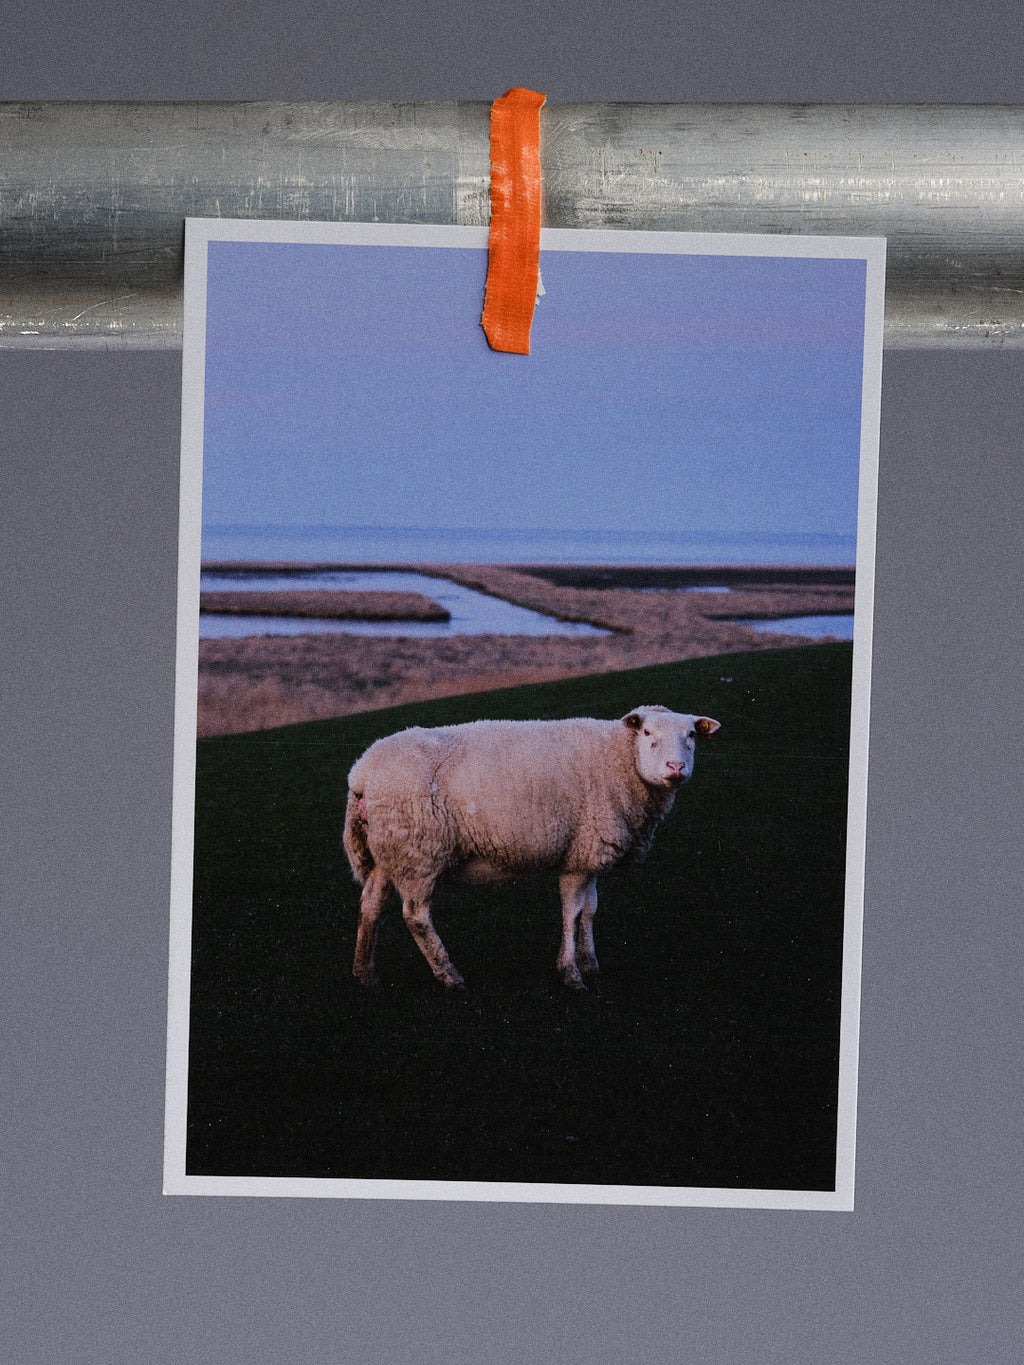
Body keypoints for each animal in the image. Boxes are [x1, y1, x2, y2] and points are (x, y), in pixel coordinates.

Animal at [343, 706, 721, 990]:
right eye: (646, 733)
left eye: (691, 735)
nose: (676, 768)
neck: (619, 757)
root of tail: (362, 772)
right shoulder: (578, 857)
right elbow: (572, 913)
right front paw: (571, 974)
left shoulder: (588, 852)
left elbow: (590, 910)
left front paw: (590, 963)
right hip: (418, 853)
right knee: (416, 916)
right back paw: (449, 976)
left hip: (387, 853)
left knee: (370, 906)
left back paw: (365, 973)